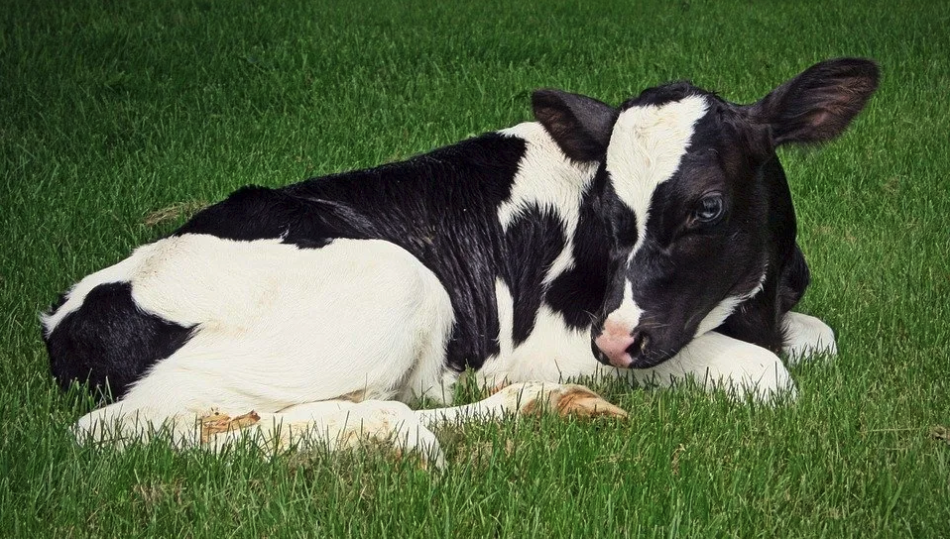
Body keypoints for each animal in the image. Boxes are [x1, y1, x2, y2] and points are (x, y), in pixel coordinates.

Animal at [42, 58, 876, 464]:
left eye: (708, 205)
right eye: (606, 204)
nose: (615, 343)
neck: (753, 299)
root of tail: (69, 312)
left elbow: (820, 337)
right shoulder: (563, 336)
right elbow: (768, 374)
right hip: (396, 283)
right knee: (117, 427)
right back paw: (392, 434)